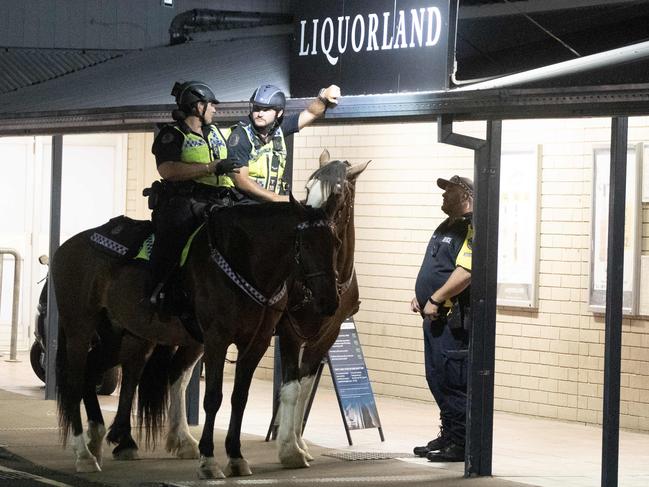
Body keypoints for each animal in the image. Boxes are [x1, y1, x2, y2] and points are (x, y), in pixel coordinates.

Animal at [50, 194, 340, 476]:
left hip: (119, 335)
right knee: (75, 382)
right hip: (80, 328)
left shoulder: (255, 343)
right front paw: (209, 460)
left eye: (336, 242)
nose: (329, 302)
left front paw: (236, 456)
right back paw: (84, 454)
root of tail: (66, 248)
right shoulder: (217, 340)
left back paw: (98, 438)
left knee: (91, 372)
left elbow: (240, 398)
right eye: (305, 244)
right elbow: (213, 398)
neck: (245, 260)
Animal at [272, 150, 370, 468]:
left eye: (337, 192)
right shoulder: (290, 332)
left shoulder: (327, 335)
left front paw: (298, 443)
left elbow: (304, 388)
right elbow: (290, 388)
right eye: (307, 188)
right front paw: (288, 449)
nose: (306, 227)